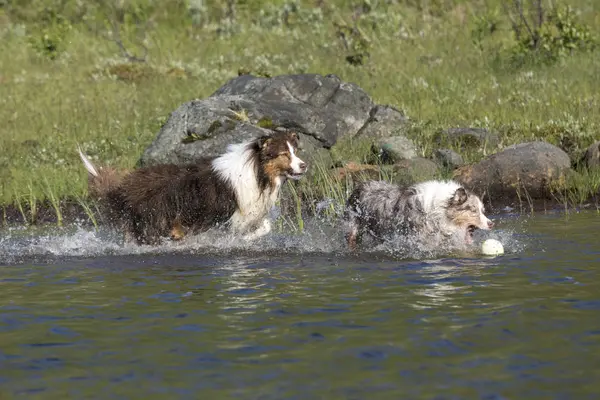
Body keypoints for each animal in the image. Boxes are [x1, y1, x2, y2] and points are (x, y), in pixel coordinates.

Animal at [77, 130, 308, 244]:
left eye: (295, 151)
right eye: (284, 154)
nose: (304, 165)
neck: (257, 171)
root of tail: (124, 187)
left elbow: (266, 226)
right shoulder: (226, 218)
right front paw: (241, 239)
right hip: (154, 220)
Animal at [344, 180, 494, 250]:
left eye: (482, 210)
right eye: (473, 210)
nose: (491, 223)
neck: (441, 208)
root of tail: (358, 187)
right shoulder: (422, 237)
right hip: (353, 224)